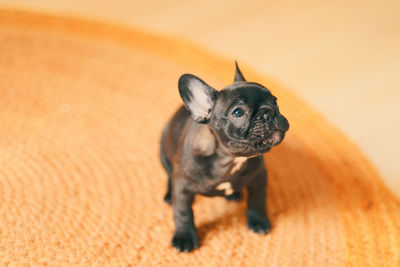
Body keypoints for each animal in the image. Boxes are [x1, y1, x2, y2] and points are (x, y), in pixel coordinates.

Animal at [159, 63, 288, 253]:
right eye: (238, 112)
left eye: (275, 101)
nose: (267, 113)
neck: (230, 159)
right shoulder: (182, 187)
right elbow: (183, 212)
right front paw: (185, 237)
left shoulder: (259, 177)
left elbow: (257, 200)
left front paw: (258, 221)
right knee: (169, 175)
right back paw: (169, 195)